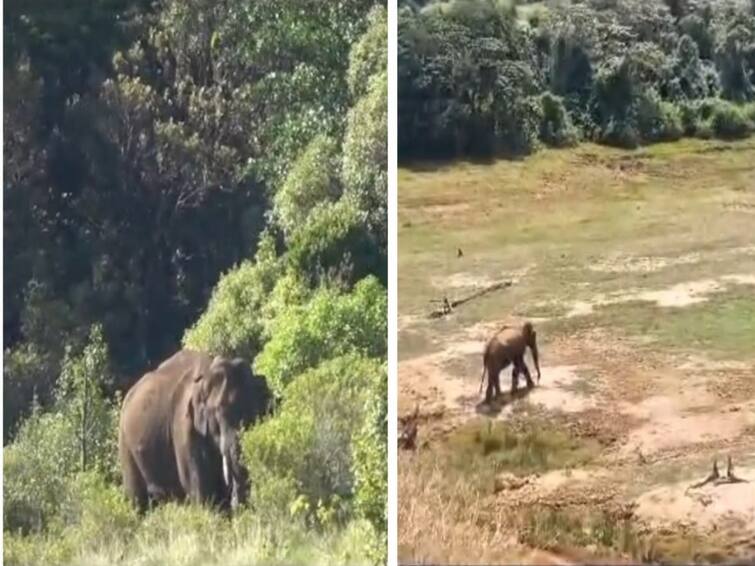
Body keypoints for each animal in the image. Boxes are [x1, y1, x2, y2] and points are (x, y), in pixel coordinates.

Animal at [118, 350, 272, 516]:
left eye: (256, 413)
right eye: (219, 413)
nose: (235, 499)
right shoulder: (184, 426)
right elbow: (201, 491)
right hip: (125, 444)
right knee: (137, 500)